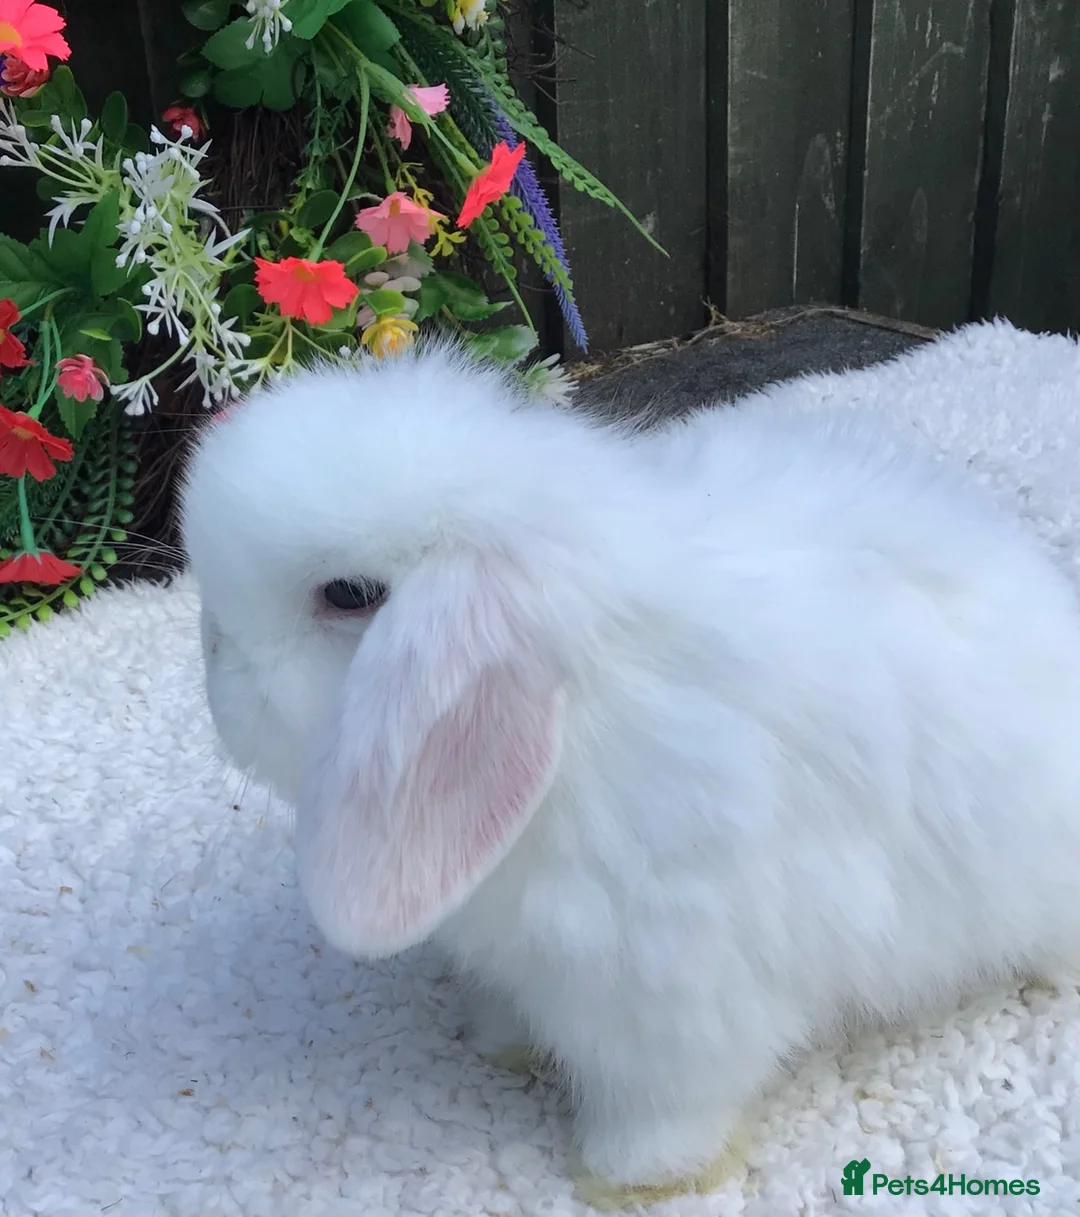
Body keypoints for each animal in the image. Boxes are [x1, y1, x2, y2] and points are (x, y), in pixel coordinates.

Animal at [181, 340, 1080, 1207]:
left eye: (347, 593)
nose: (214, 653)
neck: (575, 729)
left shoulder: (676, 989)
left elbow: (666, 1101)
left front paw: (630, 1178)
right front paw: (500, 1047)